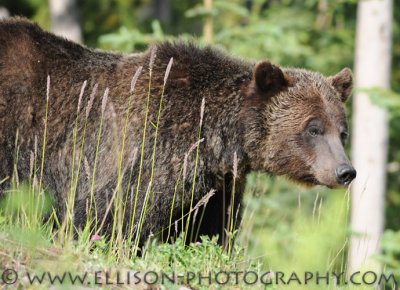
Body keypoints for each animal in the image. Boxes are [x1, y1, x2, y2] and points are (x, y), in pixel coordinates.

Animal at [0, 17, 356, 245]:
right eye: (313, 129)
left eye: (342, 131)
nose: (345, 171)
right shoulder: (147, 153)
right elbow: (115, 217)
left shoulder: (216, 184)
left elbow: (207, 229)